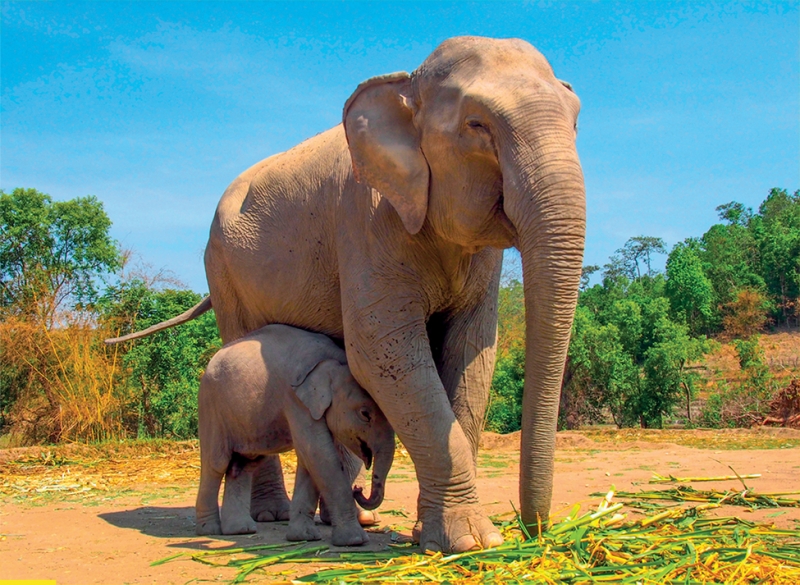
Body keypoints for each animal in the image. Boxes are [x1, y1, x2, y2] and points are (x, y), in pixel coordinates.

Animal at [194, 324, 394, 546]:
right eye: (365, 414)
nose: (358, 489)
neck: (331, 360)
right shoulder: (295, 400)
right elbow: (319, 455)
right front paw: (355, 541)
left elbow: (311, 459)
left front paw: (304, 537)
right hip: (211, 407)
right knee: (217, 463)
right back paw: (209, 530)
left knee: (243, 465)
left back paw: (240, 530)